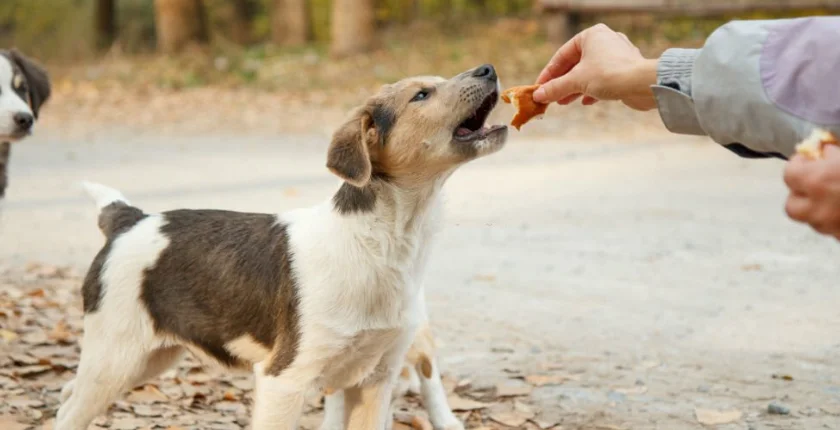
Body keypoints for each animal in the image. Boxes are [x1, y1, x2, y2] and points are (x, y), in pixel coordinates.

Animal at [57, 63, 506, 430]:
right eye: (421, 95)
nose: (488, 69)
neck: (380, 242)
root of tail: (128, 219)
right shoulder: (284, 380)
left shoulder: (375, 381)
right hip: (115, 357)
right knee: (68, 413)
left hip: (147, 359)